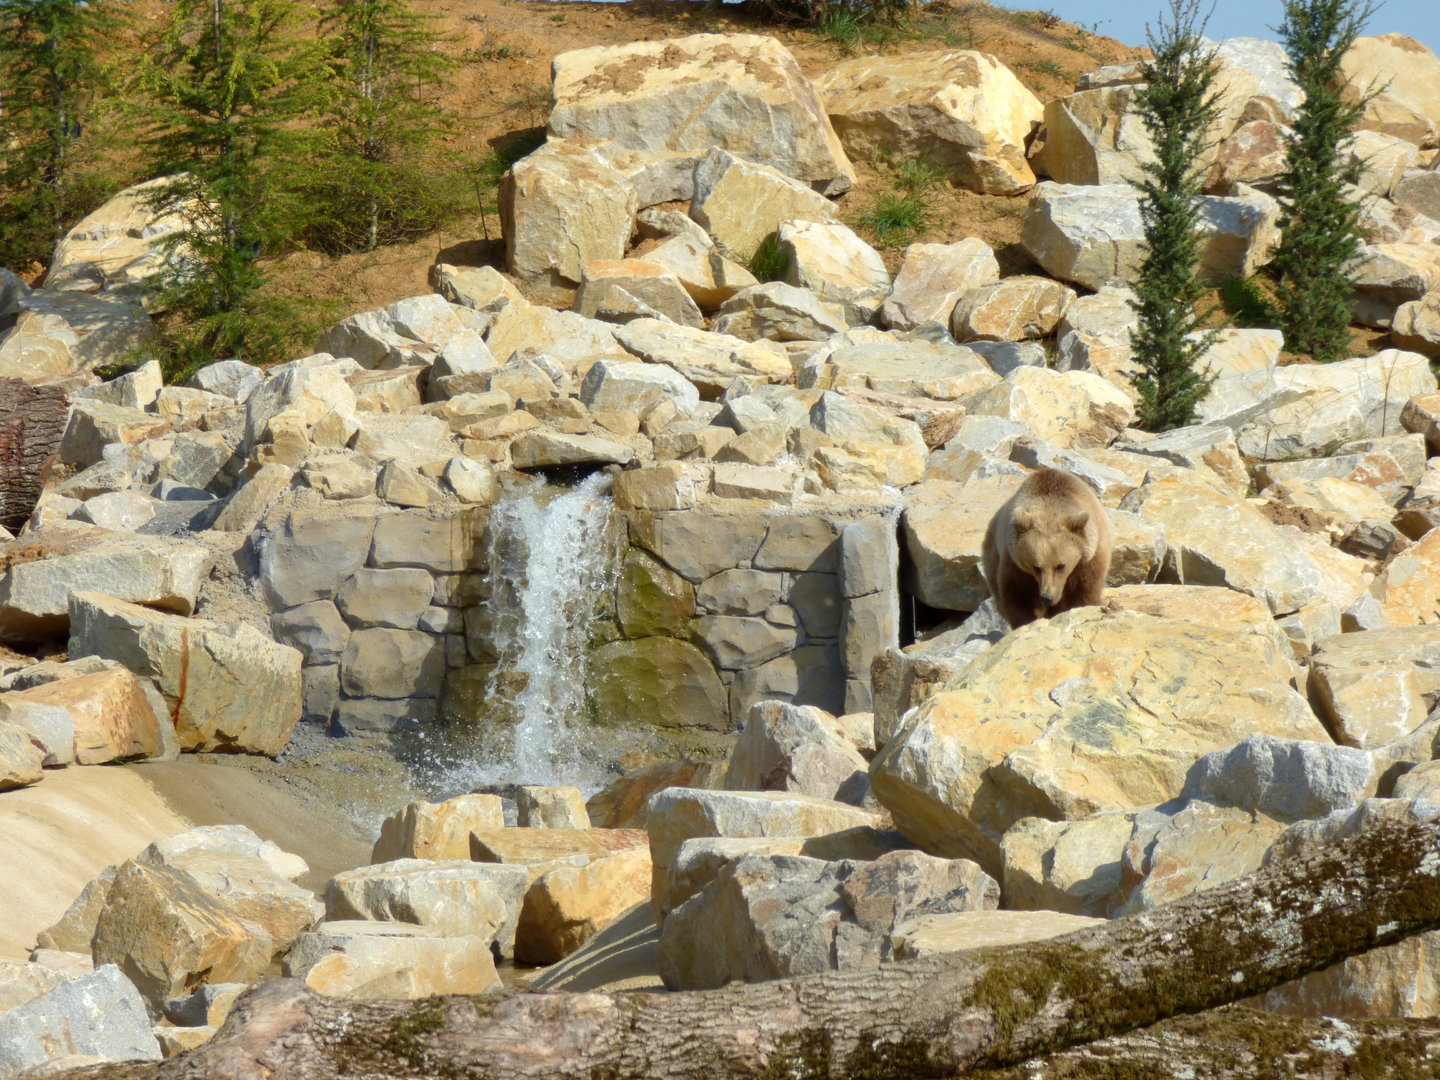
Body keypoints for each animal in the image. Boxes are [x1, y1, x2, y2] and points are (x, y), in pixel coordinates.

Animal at [981, 467, 1112, 630]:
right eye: (1036, 567)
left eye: (1061, 566)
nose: (1047, 597)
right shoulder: (1015, 563)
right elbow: (1018, 596)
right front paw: (1027, 622)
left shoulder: (1090, 558)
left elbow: (1085, 591)